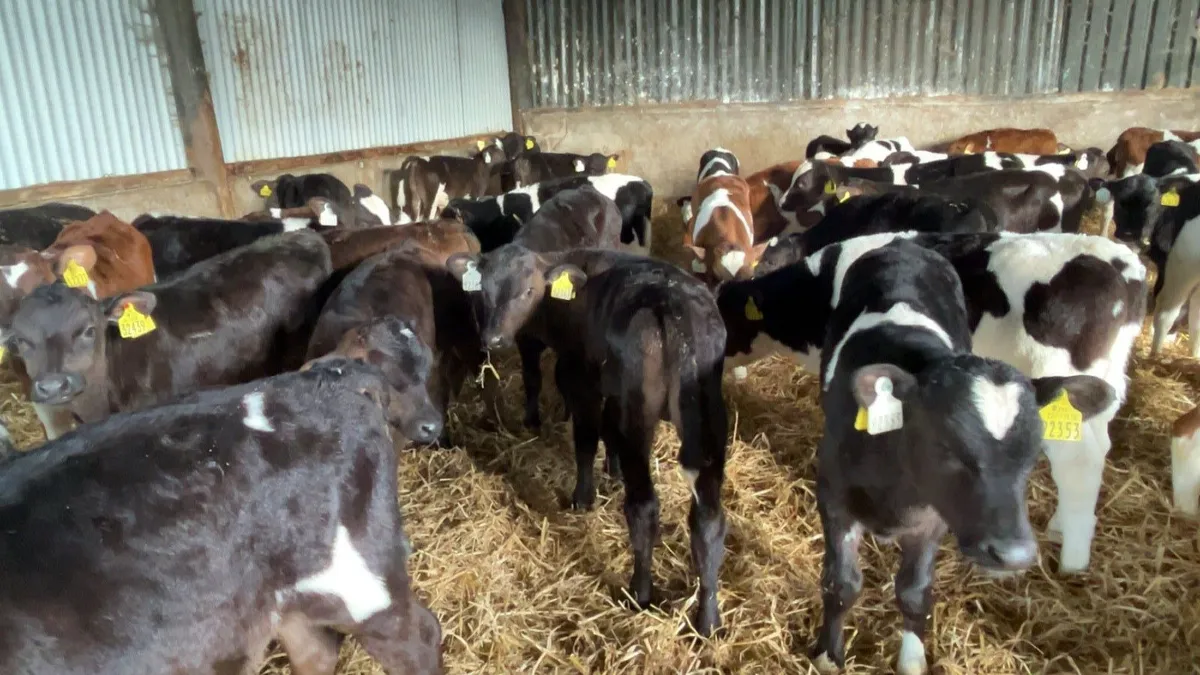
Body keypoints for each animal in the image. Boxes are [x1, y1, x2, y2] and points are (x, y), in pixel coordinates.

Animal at [447, 248, 729, 636]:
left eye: (527, 291)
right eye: (483, 291)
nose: (493, 339)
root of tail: (672, 304)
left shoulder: (580, 373)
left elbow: (585, 439)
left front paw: (583, 496)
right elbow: (607, 433)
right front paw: (612, 470)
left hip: (639, 409)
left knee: (644, 506)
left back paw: (639, 592)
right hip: (708, 414)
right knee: (708, 518)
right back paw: (709, 618)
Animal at [808, 239, 1112, 675]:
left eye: (1034, 452)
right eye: (945, 445)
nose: (1013, 554)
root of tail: (904, 245)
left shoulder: (933, 518)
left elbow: (914, 590)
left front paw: (912, 658)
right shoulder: (833, 497)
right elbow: (841, 583)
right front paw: (828, 654)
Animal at [1101, 173, 1200, 355]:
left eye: (1152, 204)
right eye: (1120, 202)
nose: (1128, 234)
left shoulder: (1180, 267)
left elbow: (1166, 314)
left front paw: (1155, 354)